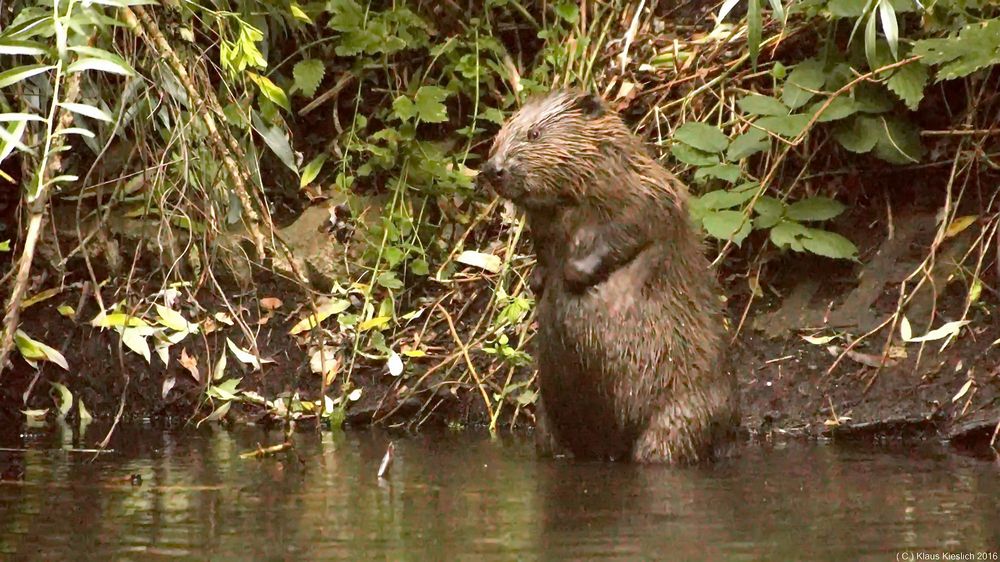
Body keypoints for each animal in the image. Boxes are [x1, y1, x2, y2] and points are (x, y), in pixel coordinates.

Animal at [480, 89, 740, 462]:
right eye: (503, 130)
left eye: (534, 133)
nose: (493, 169)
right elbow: (543, 246)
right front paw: (540, 281)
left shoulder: (647, 191)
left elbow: (631, 229)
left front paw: (573, 273)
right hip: (548, 424)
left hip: (679, 415)